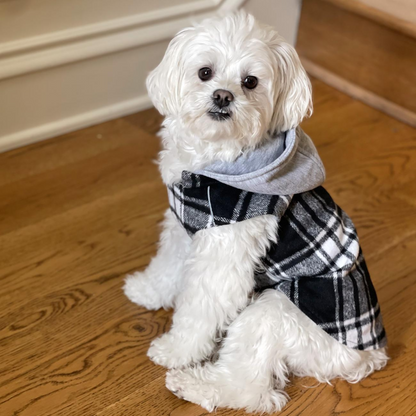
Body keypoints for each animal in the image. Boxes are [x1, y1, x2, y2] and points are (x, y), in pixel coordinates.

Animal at [122, 11, 386, 412]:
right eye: (205, 72)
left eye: (251, 82)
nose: (222, 95)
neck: (217, 161)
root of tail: (369, 356)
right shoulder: (185, 228)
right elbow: (166, 266)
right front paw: (147, 291)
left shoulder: (222, 259)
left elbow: (199, 309)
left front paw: (175, 350)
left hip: (272, 313)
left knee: (249, 388)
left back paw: (193, 384)